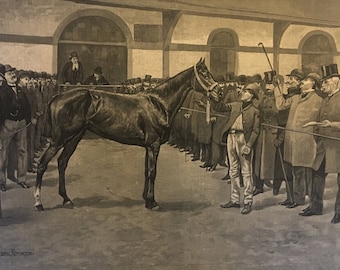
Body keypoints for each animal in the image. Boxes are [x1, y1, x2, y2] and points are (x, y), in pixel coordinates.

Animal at [33, 59, 220, 211]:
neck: (158, 103)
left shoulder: (148, 146)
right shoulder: (154, 144)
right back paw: (38, 203)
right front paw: (152, 202)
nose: (218, 93)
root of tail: (58, 97)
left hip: (74, 138)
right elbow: (152, 172)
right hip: (59, 139)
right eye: (204, 73)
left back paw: (66, 199)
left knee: (62, 162)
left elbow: (146, 171)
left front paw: (146, 199)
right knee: (42, 164)